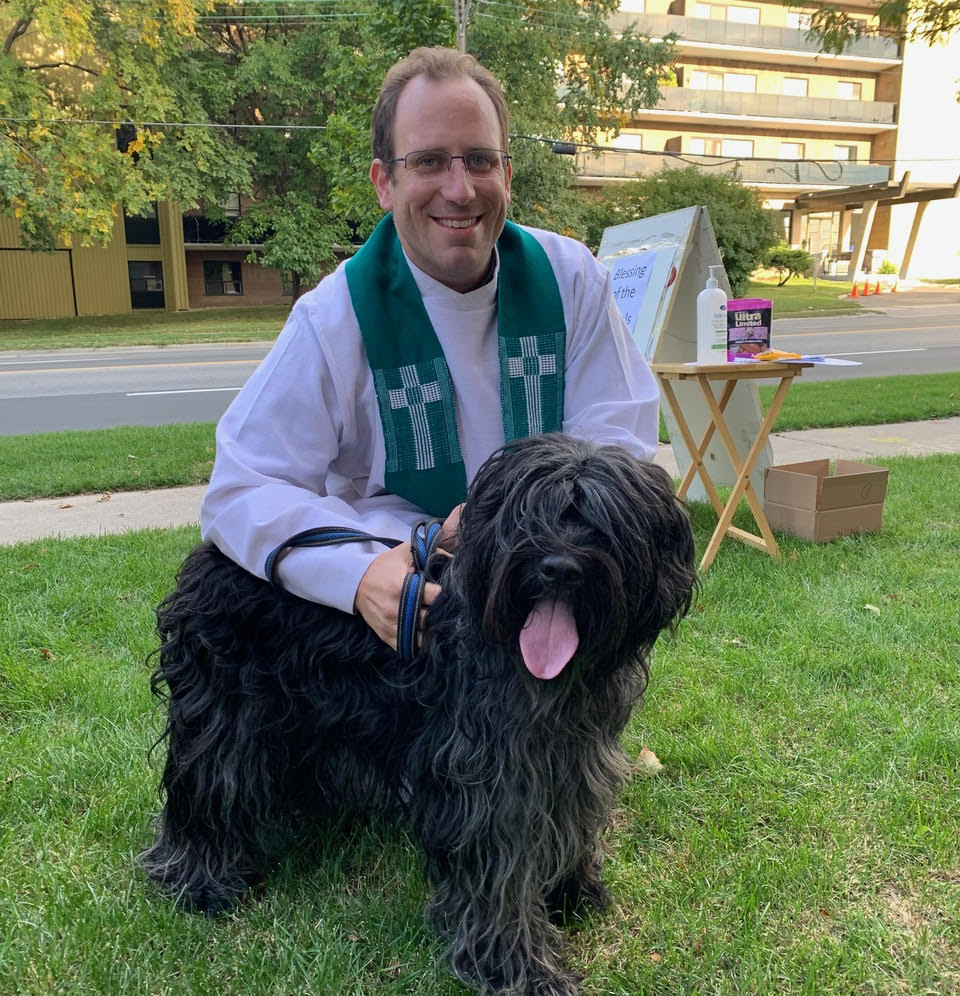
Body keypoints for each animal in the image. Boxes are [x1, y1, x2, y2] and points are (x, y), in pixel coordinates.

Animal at [142, 436, 692, 996]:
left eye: (601, 522)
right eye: (526, 516)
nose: (557, 568)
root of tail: (216, 551)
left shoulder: (574, 757)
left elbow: (570, 820)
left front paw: (570, 891)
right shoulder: (488, 781)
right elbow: (501, 870)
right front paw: (519, 968)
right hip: (225, 720)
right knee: (208, 789)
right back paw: (201, 880)